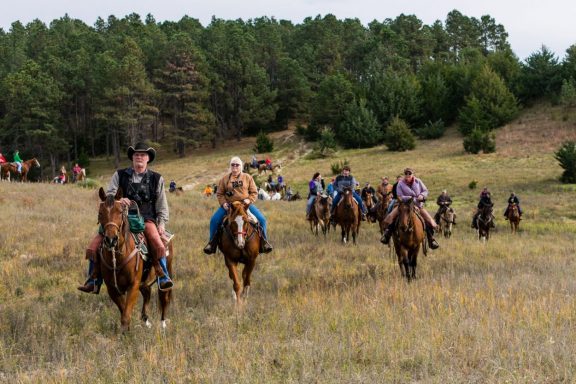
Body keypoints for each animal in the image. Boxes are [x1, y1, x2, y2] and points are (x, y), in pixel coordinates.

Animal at [97, 188, 172, 332]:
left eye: (120, 212)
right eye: (100, 212)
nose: (111, 240)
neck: (118, 257)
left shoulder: (133, 285)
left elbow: (126, 315)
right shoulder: (112, 289)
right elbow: (123, 312)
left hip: (166, 274)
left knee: (164, 297)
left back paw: (163, 324)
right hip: (144, 282)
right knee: (147, 293)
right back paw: (146, 321)